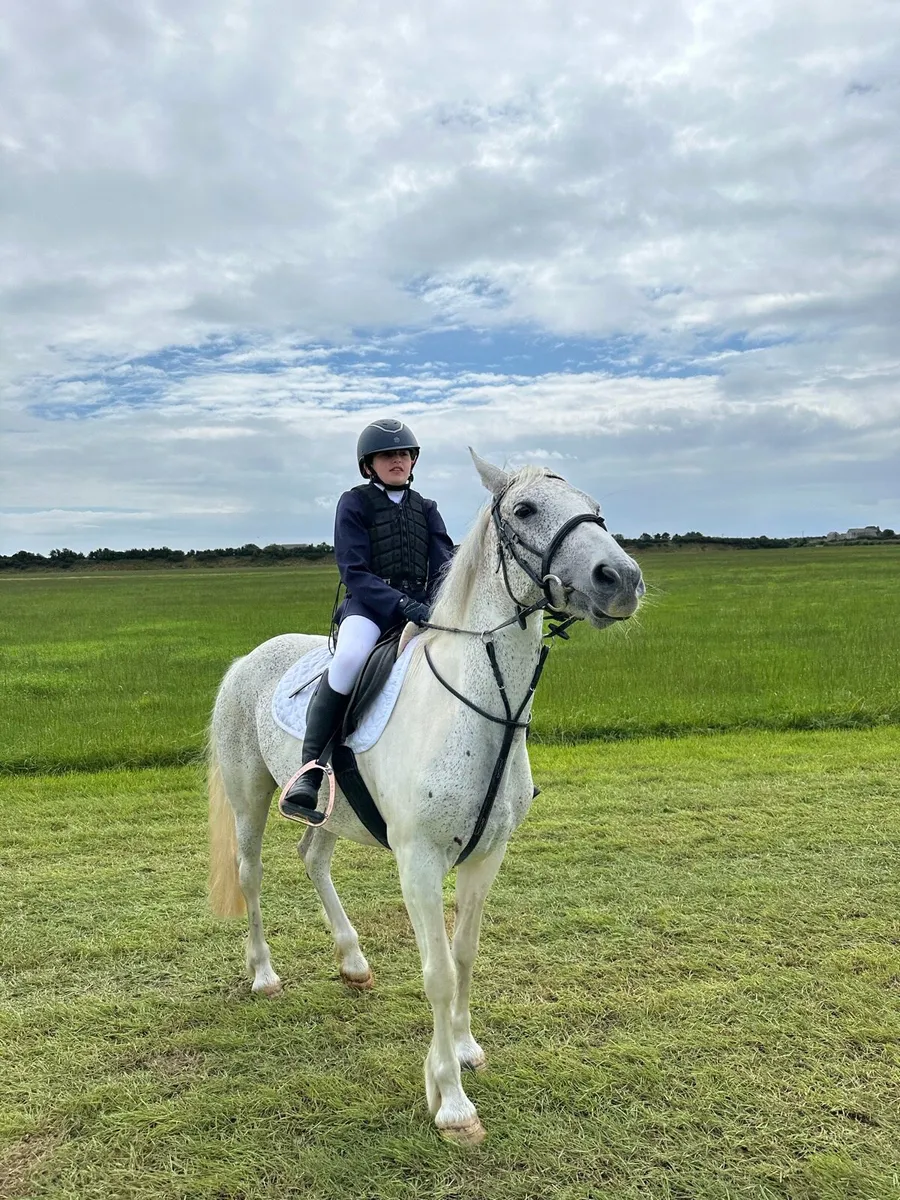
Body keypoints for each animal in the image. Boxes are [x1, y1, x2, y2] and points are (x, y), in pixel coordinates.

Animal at [207, 450, 645, 1144]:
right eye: (525, 510)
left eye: (595, 508)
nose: (620, 579)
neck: (480, 709)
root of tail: (249, 659)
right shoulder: (418, 862)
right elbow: (437, 973)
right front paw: (452, 1102)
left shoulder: (485, 857)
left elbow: (463, 955)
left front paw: (464, 1050)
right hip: (249, 796)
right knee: (251, 874)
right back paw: (265, 976)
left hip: (330, 812)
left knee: (312, 857)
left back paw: (353, 962)